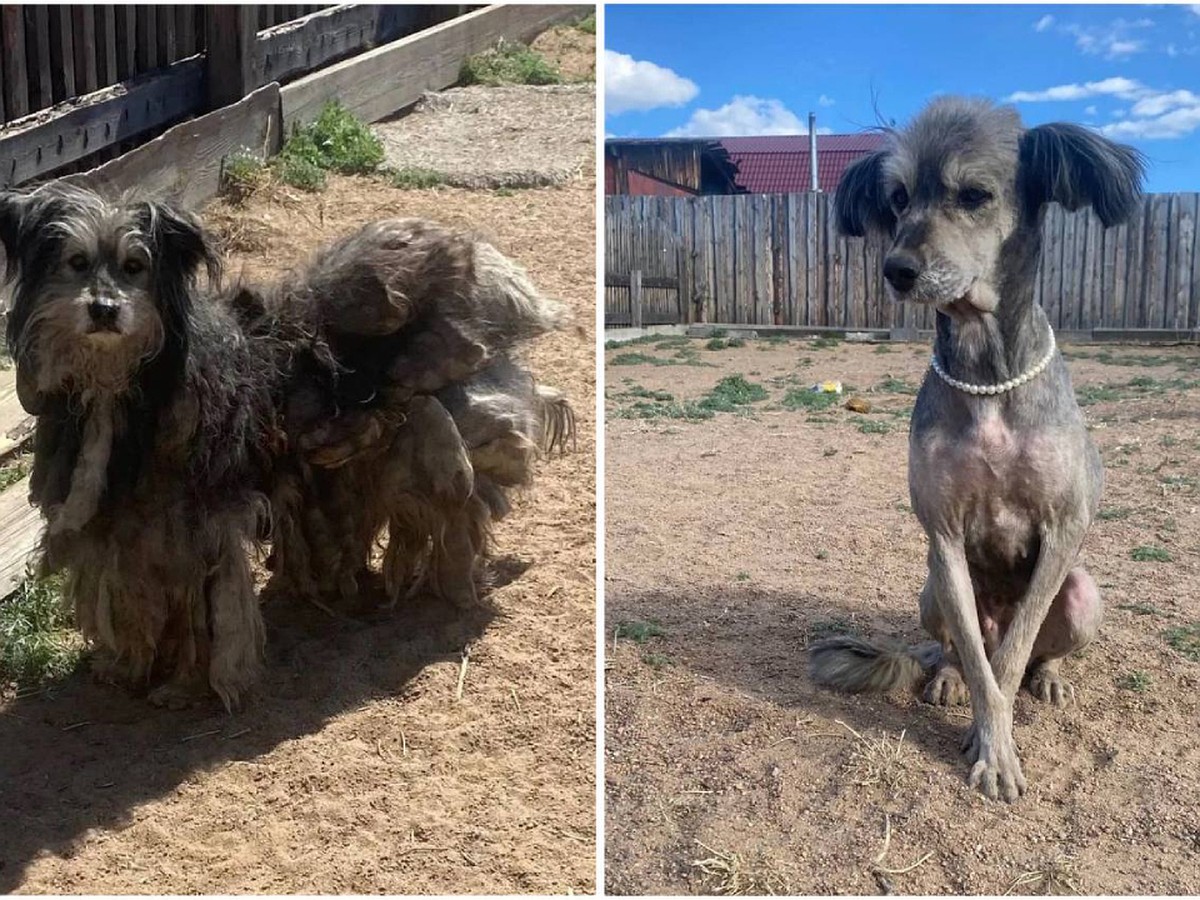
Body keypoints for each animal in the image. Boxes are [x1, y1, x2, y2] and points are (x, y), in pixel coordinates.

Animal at [1, 183, 571, 710]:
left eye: (135, 266)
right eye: (76, 262)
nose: (104, 309)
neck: (123, 383)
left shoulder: (198, 527)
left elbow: (200, 610)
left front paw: (190, 684)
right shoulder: (130, 526)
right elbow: (133, 595)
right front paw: (127, 666)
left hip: (442, 438)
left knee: (463, 508)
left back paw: (452, 583)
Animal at [811, 98, 1137, 801]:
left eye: (974, 195)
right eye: (898, 198)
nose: (897, 270)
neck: (987, 375)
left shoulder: (1064, 528)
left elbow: (1008, 663)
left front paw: (1000, 747)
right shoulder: (944, 536)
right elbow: (983, 665)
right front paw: (991, 744)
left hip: (1081, 594)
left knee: (1033, 648)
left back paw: (1049, 677)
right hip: (931, 588)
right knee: (959, 648)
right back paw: (945, 676)